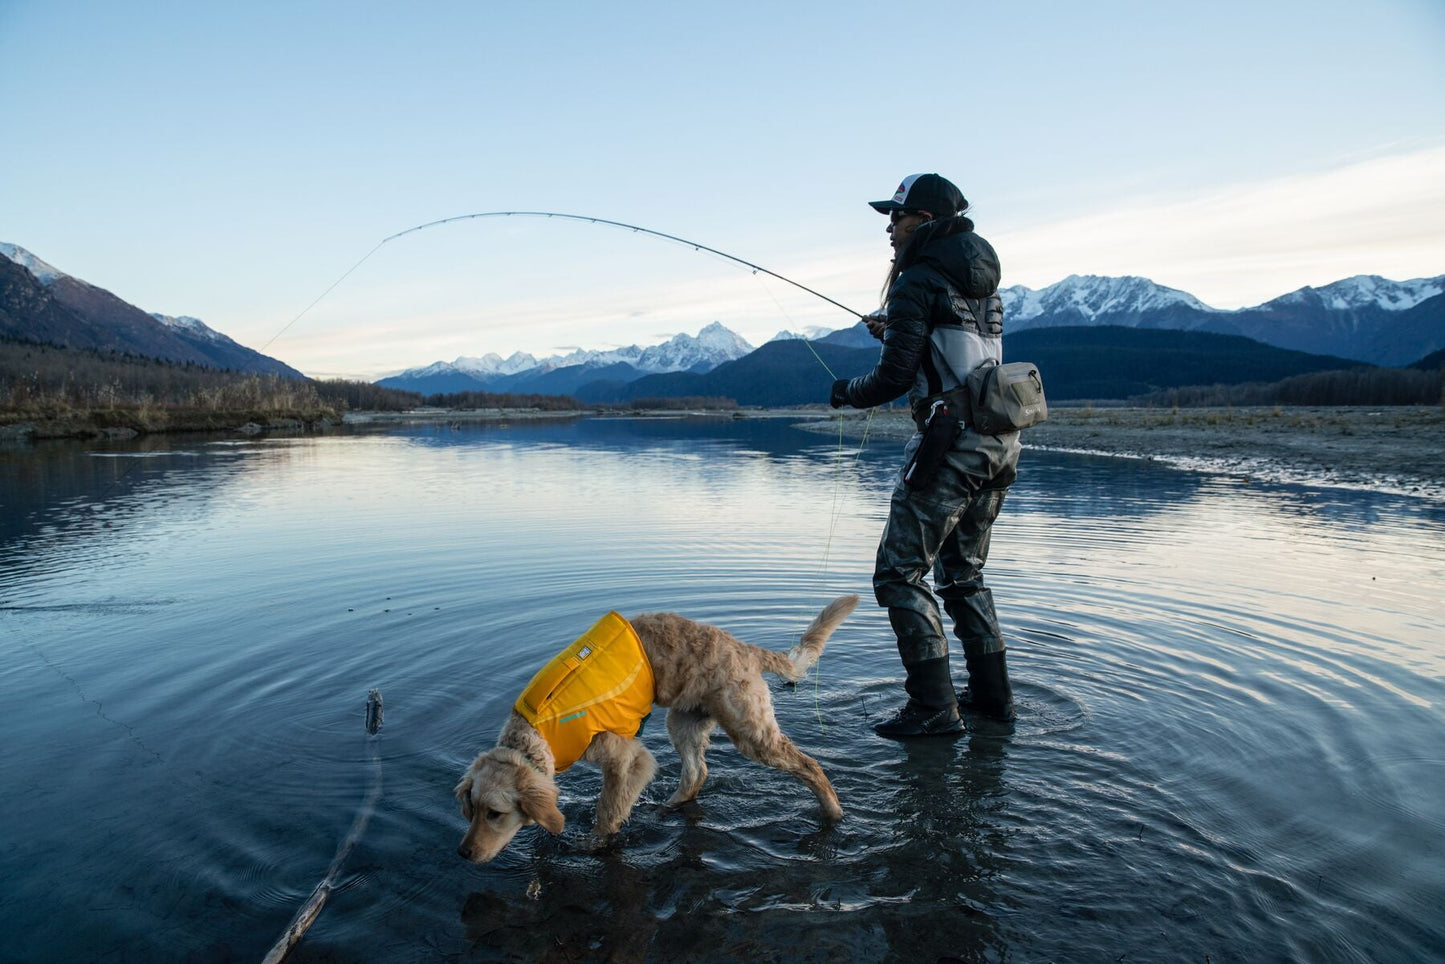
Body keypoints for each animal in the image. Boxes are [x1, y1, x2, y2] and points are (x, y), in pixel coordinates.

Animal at [453, 595, 855, 861]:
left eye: (495, 813)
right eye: (472, 809)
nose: (464, 852)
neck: (536, 730)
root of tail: (747, 649)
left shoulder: (629, 757)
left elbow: (608, 809)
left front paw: (594, 845)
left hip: (750, 731)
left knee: (810, 765)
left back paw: (834, 813)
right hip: (682, 720)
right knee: (697, 773)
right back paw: (669, 806)